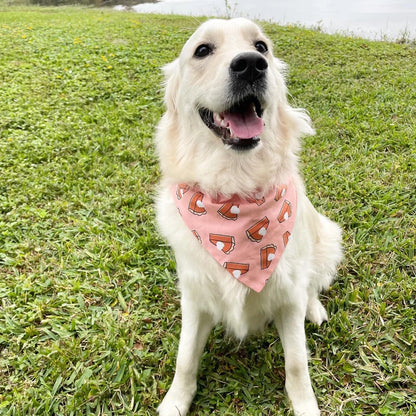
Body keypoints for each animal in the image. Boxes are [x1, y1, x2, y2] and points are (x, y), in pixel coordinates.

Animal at [154, 17, 342, 414]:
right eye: (202, 50)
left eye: (261, 47)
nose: (252, 65)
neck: (235, 195)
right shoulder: (194, 294)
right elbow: (184, 357)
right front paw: (176, 400)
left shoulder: (288, 296)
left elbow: (297, 362)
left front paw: (305, 405)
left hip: (327, 238)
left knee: (312, 284)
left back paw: (314, 309)